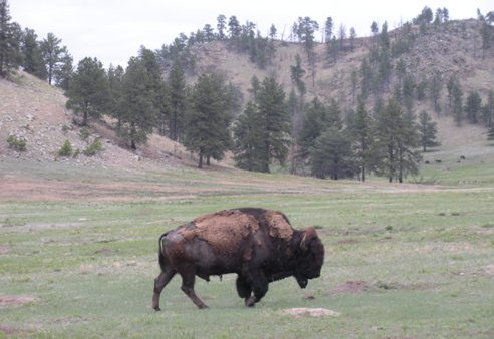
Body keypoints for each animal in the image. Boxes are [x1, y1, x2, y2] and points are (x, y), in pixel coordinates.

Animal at [152, 207, 326, 310]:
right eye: (310, 254)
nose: (316, 273)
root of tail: (169, 234)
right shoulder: (254, 269)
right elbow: (261, 288)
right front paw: (250, 302)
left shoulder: (244, 273)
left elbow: (246, 288)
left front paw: (248, 302)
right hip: (187, 270)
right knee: (187, 287)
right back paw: (204, 306)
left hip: (170, 269)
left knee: (159, 283)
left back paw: (156, 308)